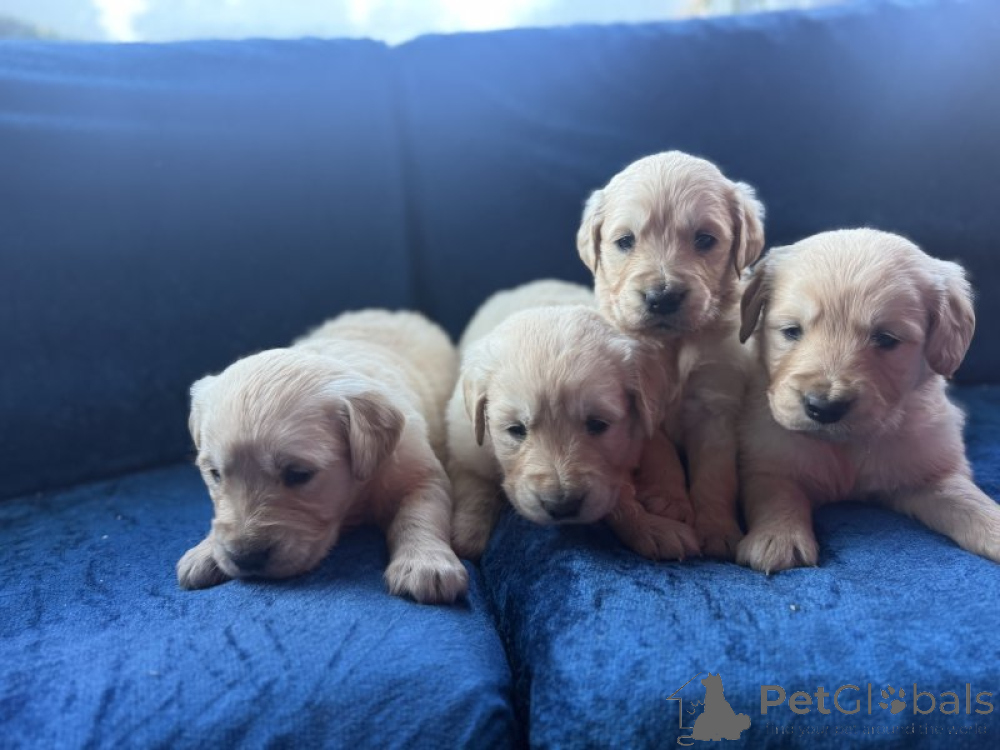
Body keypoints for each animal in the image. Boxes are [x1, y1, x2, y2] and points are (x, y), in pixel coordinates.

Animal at [176, 309, 469, 604]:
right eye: (214, 474)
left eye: (298, 474)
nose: (245, 558)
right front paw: (203, 552)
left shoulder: (418, 468)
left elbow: (420, 512)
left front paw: (425, 564)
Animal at [447, 279, 697, 561]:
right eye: (516, 429)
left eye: (598, 424)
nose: (562, 506)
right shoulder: (463, 440)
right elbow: (472, 484)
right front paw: (468, 532)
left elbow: (625, 483)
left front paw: (653, 526)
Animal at [578, 151, 766, 558]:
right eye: (626, 241)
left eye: (705, 239)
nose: (662, 297)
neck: (674, 344)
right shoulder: (643, 404)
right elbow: (660, 452)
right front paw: (669, 502)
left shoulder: (716, 405)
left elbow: (715, 473)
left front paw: (718, 528)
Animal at [736, 228, 1000, 572]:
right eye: (792, 331)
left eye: (886, 339)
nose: (824, 407)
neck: (845, 446)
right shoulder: (768, 458)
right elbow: (776, 494)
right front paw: (778, 537)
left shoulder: (929, 470)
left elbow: (966, 498)